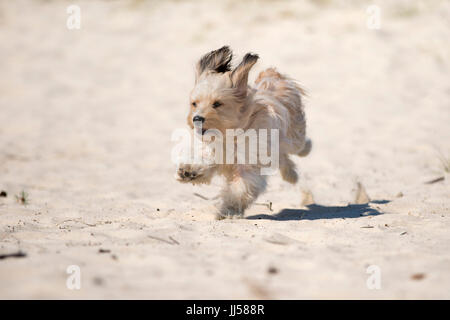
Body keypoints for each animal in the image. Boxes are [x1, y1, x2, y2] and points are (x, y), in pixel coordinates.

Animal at [176, 45, 310, 220]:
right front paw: (189, 171)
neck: (228, 135)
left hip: (294, 135)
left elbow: (240, 189)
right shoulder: (215, 153)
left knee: (298, 147)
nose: (196, 118)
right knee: (283, 158)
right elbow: (204, 161)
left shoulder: (249, 166)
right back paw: (292, 176)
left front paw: (228, 209)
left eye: (217, 104)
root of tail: (272, 77)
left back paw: (302, 157)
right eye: (194, 103)